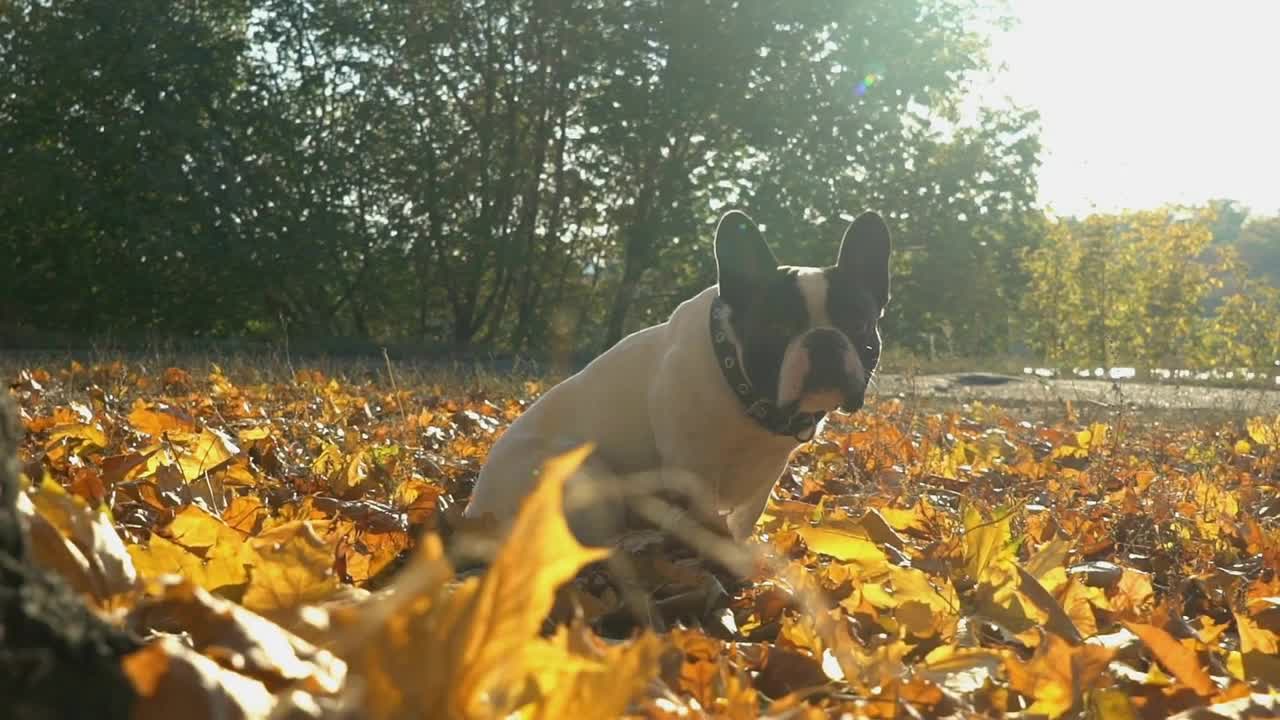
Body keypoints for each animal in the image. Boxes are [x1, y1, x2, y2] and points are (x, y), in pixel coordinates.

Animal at [463, 207, 890, 543]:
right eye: (776, 328)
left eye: (859, 324)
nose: (824, 340)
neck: (746, 393)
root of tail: (474, 515)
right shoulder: (692, 470)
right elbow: (708, 520)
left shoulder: (767, 473)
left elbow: (744, 519)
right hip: (584, 472)